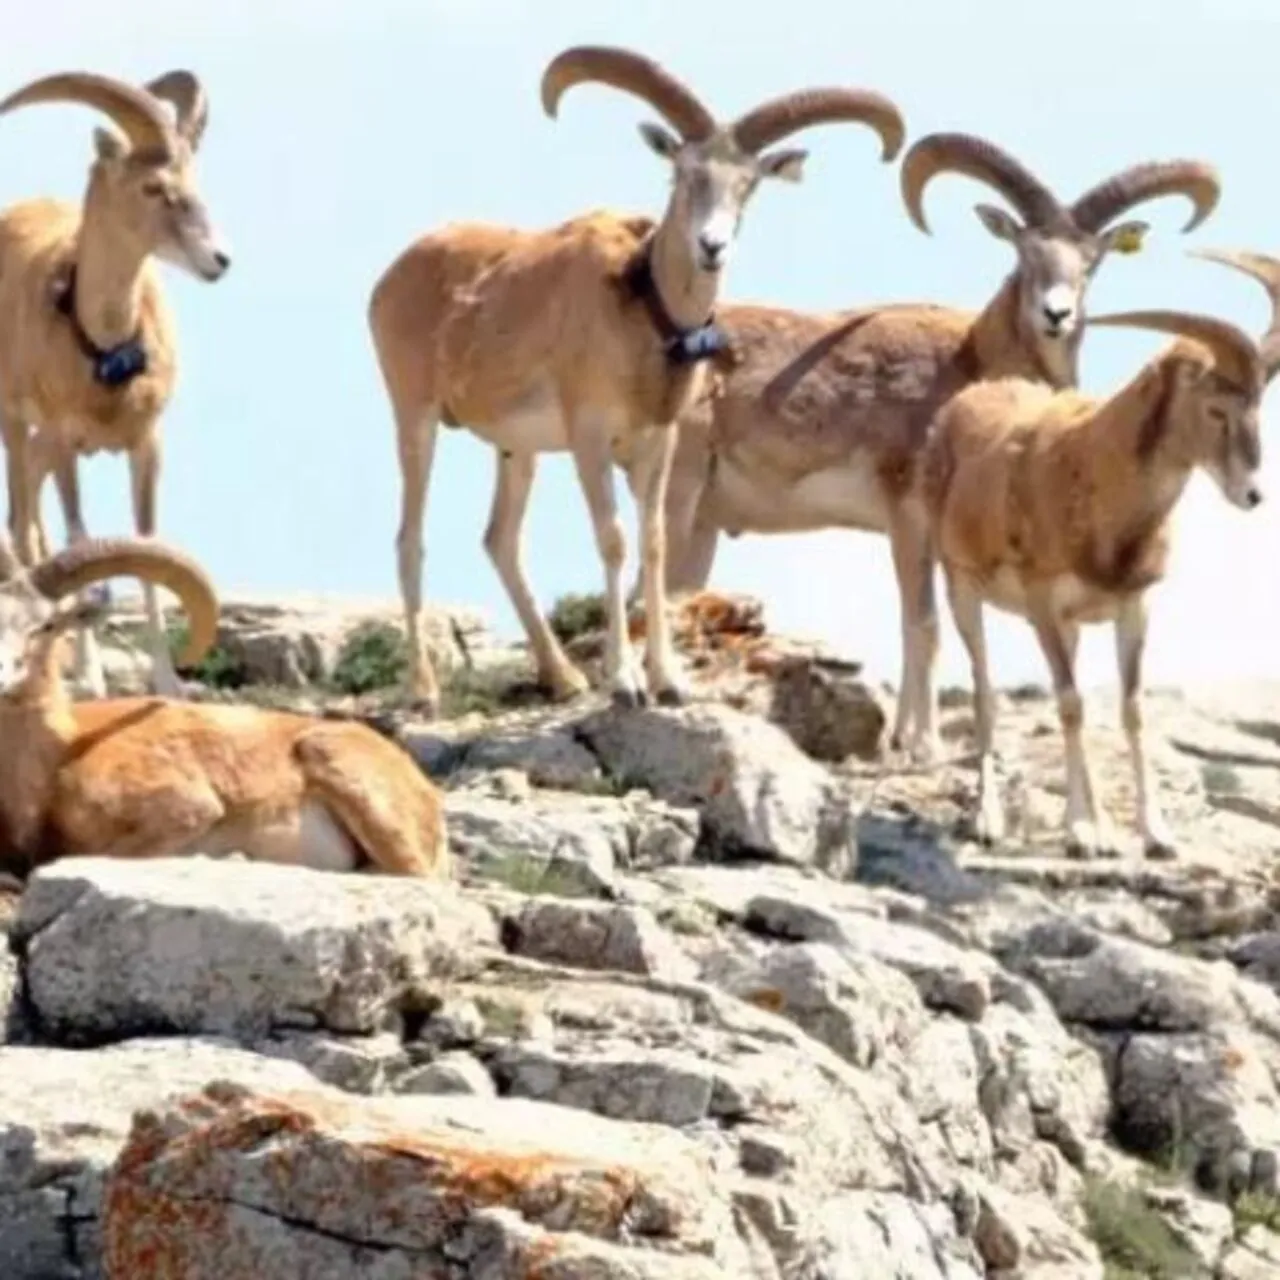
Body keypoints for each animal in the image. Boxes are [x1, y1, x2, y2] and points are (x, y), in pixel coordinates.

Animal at [0, 70, 232, 701]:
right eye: (153, 187)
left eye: (194, 182)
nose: (218, 259)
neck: (105, 351)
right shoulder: (61, 441)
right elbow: (80, 541)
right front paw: (92, 679)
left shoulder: (146, 444)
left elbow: (146, 544)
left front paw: (168, 684)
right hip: (17, 429)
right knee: (25, 527)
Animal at [368, 40, 911, 716]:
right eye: (684, 172)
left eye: (748, 185)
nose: (711, 247)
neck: (639, 309)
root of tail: (392, 277)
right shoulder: (590, 439)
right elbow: (615, 540)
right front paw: (624, 682)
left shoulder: (659, 443)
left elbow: (653, 546)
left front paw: (669, 681)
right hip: (414, 414)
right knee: (408, 538)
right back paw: (424, 690)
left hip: (515, 447)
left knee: (500, 539)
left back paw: (562, 678)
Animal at [655, 133, 1223, 757]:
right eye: (1025, 252)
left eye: (1091, 262)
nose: (1056, 313)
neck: (968, 367)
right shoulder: (907, 517)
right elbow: (924, 626)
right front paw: (923, 744)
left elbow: (917, 628)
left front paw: (905, 738)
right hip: (677, 494)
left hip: (704, 524)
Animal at [916, 249, 1274, 860]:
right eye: (1216, 409)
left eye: (1259, 406)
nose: (1252, 494)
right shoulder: (1041, 604)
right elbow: (1069, 703)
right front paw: (1086, 833)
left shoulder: (1133, 607)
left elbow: (1131, 708)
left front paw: (1153, 834)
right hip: (963, 588)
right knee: (986, 693)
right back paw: (989, 821)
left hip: (1071, 625)